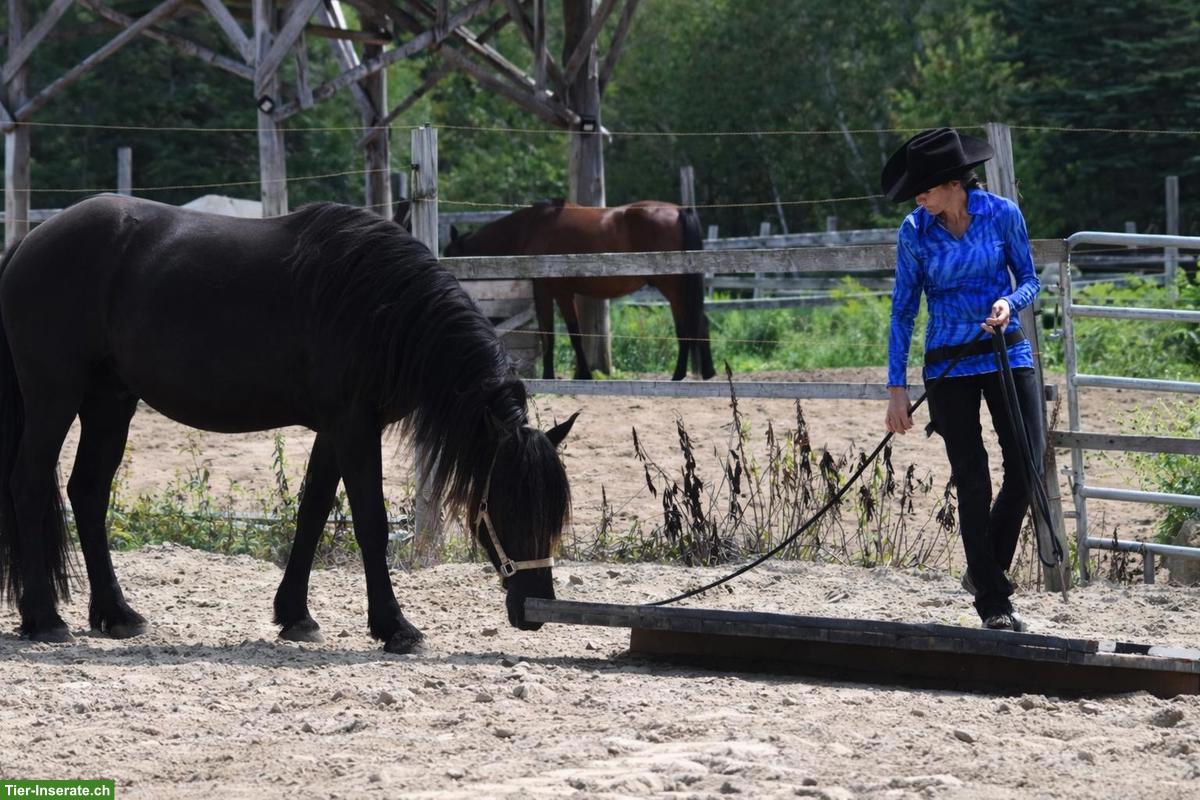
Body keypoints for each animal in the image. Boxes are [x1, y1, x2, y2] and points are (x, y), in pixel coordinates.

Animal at [0, 194, 576, 654]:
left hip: (110, 401)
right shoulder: (354, 423)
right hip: (55, 396)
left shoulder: (336, 427)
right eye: (507, 505)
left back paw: (115, 615)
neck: (381, 306)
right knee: (28, 485)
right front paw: (394, 626)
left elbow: (314, 509)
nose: (535, 609)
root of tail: (31, 240)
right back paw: (44, 618)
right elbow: (370, 521)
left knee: (88, 492)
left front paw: (296, 616)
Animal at [438, 200, 716, 381]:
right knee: (699, 323)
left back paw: (678, 375)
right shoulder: (562, 293)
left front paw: (555, 375)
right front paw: (580, 373)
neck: (532, 227)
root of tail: (679, 211)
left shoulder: (550, 291)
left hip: (674, 289)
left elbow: (556, 334)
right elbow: (567, 333)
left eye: (450, 257)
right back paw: (706, 373)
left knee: (687, 328)